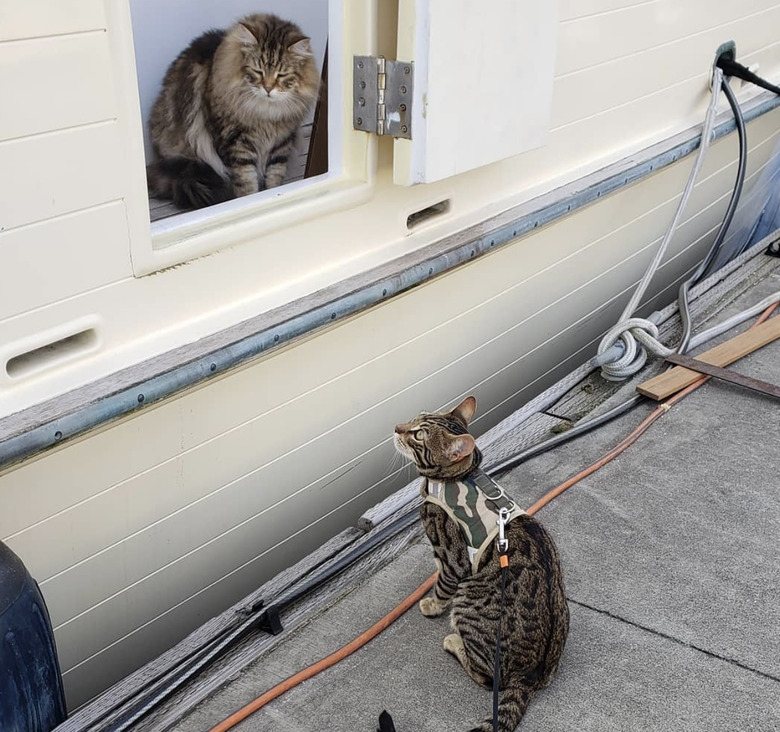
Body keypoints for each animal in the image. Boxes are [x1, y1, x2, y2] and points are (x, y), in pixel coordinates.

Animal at [145, 12, 318, 210]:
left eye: (281, 75)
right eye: (258, 71)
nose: (267, 88)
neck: (265, 113)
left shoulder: (281, 143)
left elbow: (274, 178)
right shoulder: (236, 144)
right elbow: (246, 181)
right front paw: (251, 200)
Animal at [390, 398, 568, 728]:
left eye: (419, 434)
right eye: (417, 417)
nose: (397, 427)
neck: (460, 476)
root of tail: (529, 676)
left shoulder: (453, 559)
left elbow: (443, 585)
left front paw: (431, 604)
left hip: (467, 602)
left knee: (487, 677)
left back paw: (453, 641)